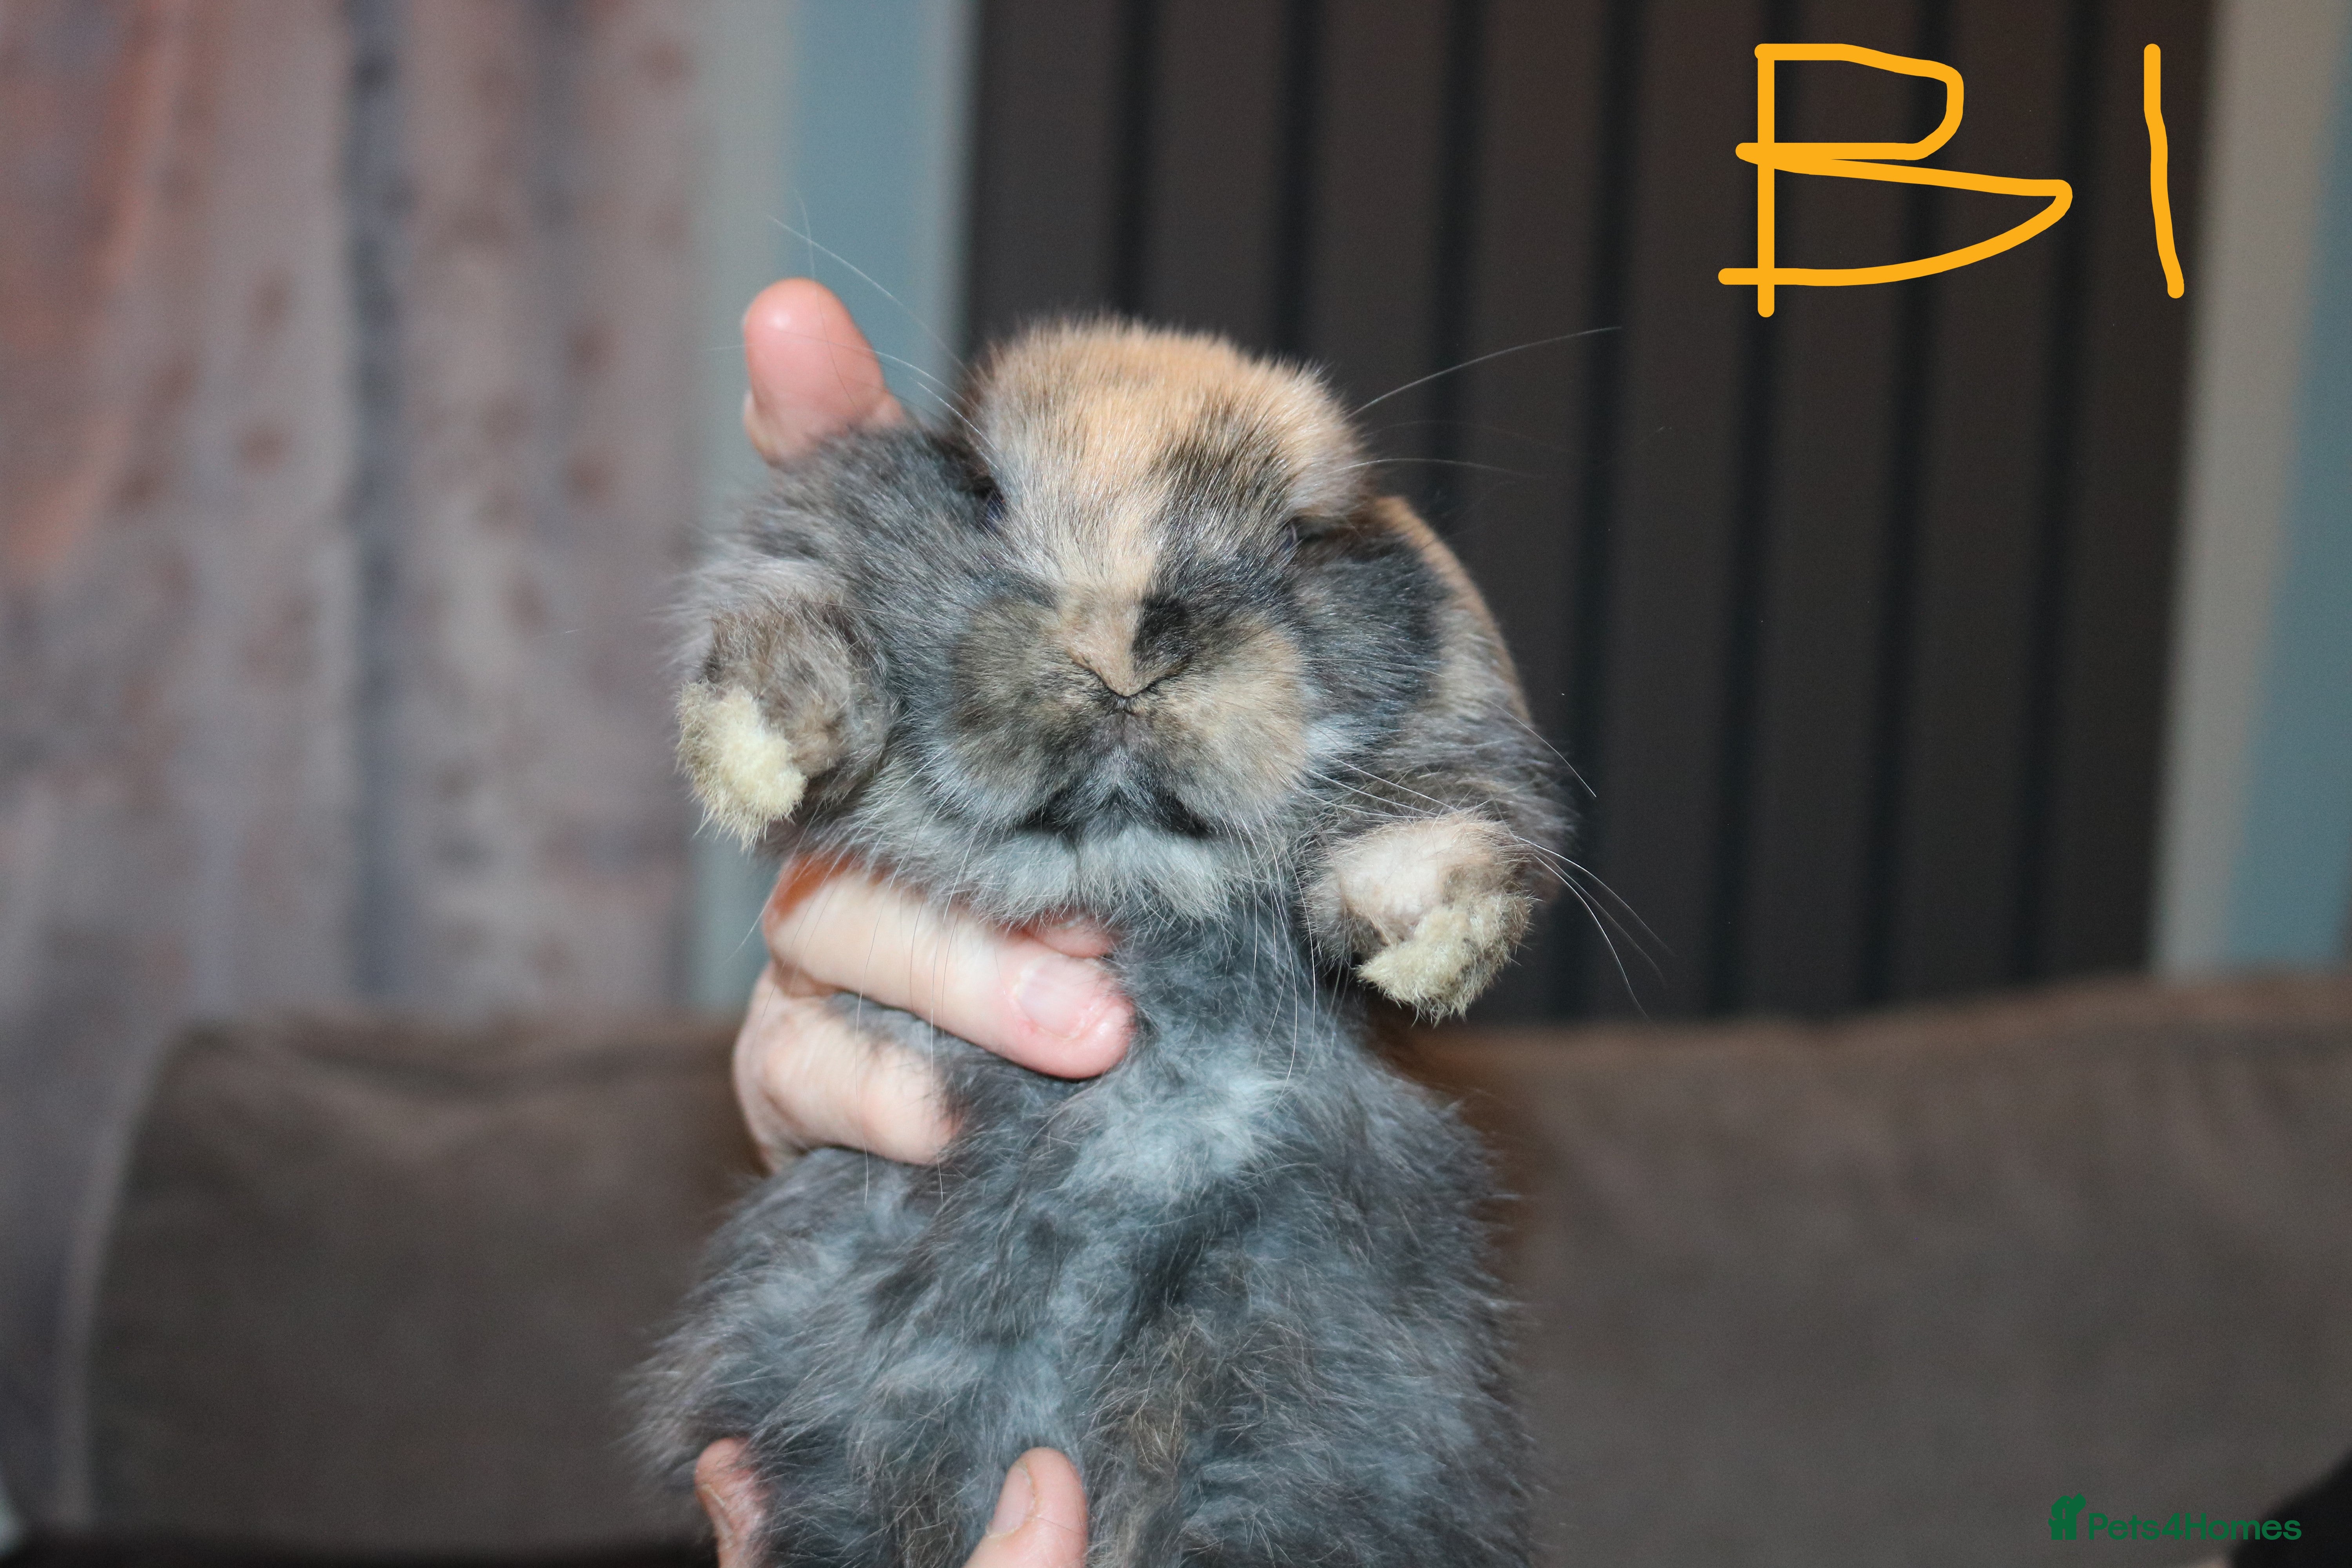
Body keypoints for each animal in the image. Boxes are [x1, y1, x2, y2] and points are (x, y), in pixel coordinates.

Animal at [638, 320, 1566, 1567]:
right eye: (979, 490)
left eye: (1301, 538)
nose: (1123, 645)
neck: (1121, 887)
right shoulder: (789, 558)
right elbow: (796, 611)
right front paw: (758, 743)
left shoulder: (1456, 742)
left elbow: (1441, 811)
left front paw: (1438, 936)